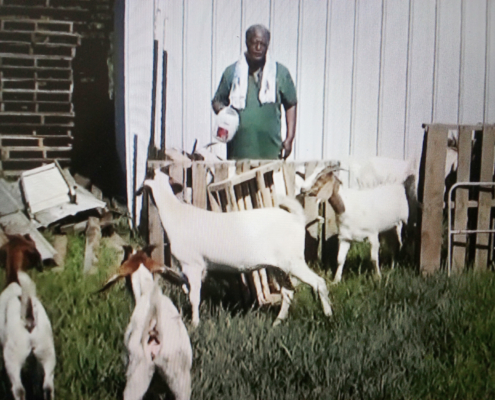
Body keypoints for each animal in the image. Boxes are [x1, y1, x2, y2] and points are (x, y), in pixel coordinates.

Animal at [141, 167, 334, 326]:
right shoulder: (196, 268)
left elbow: (194, 297)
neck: (175, 214)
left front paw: (194, 324)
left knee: (319, 283)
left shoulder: (192, 265)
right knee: (288, 292)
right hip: (278, 266)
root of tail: (296, 219)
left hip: (294, 261)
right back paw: (277, 323)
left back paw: (328, 316)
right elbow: (187, 289)